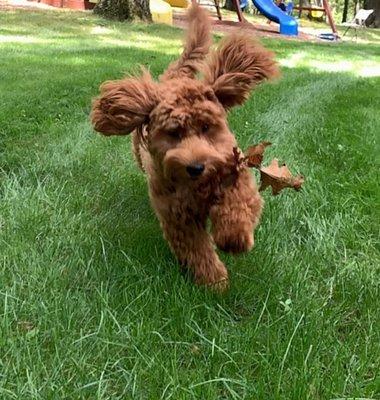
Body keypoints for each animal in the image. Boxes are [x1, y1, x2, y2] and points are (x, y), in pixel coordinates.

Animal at [90, 3, 278, 290]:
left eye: (206, 127)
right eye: (173, 133)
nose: (196, 166)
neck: (198, 187)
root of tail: (175, 76)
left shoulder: (235, 173)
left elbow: (239, 203)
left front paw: (233, 238)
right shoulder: (179, 218)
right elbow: (197, 250)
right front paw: (214, 282)